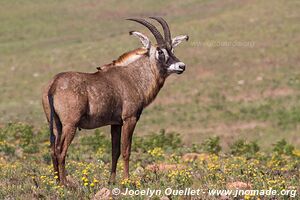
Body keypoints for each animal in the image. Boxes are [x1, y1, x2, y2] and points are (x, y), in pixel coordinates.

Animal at [42, 17, 188, 186]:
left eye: (172, 49)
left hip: (56, 125)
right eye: (160, 51)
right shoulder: (129, 119)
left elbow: (115, 151)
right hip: (69, 125)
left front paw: (111, 181)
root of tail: (54, 84)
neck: (133, 76)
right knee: (61, 150)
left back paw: (57, 183)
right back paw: (66, 184)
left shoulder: (115, 123)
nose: (181, 66)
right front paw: (127, 180)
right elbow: (126, 150)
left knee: (53, 150)